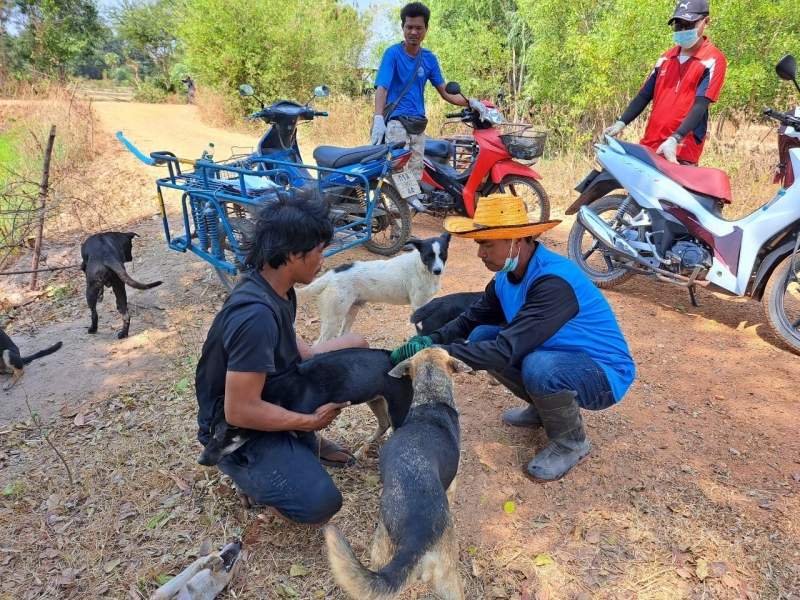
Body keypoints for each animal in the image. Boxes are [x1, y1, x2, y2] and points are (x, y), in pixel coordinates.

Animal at [198, 348, 414, 467]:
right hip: (375, 399)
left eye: (219, 436)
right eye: (211, 433)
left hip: (397, 407)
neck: (269, 397)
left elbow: (315, 454)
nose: (200, 460)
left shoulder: (307, 431)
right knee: (383, 424)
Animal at [296, 232, 451, 343]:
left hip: (351, 310)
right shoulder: (418, 306)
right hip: (334, 318)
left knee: (342, 334)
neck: (421, 267)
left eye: (442, 255)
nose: (438, 270)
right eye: (428, 256)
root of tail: (332, 274)